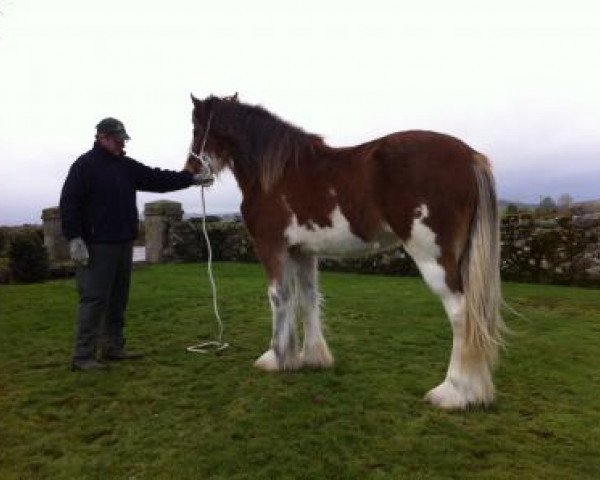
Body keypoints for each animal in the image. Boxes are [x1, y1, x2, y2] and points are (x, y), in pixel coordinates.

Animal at [185, 93, 504, 408]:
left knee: (461, 315)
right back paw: (475, 391)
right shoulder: (302, 251)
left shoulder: (272, 247)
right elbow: (308, 298)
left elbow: (279, 297)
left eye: (197, 129)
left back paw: (454, 393)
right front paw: (312, 357)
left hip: (433, 257)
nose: (191, 171)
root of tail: (470, 156)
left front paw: (276, 358)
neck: (276, 174)